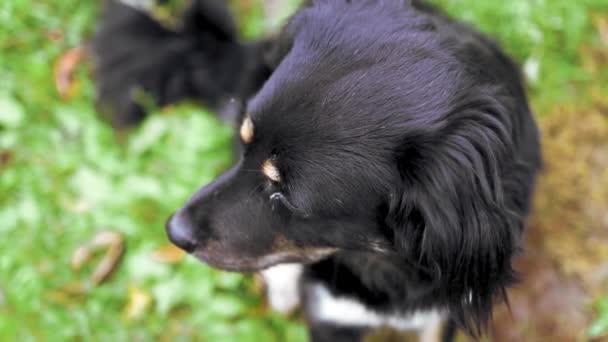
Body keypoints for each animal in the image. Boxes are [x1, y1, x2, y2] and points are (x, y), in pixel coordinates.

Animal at [94, 1, 540, 340]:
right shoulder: (331, 317)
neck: (384, 265)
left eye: (286, 196)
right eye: (246, 143)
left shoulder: (441, 313)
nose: (174, 231)